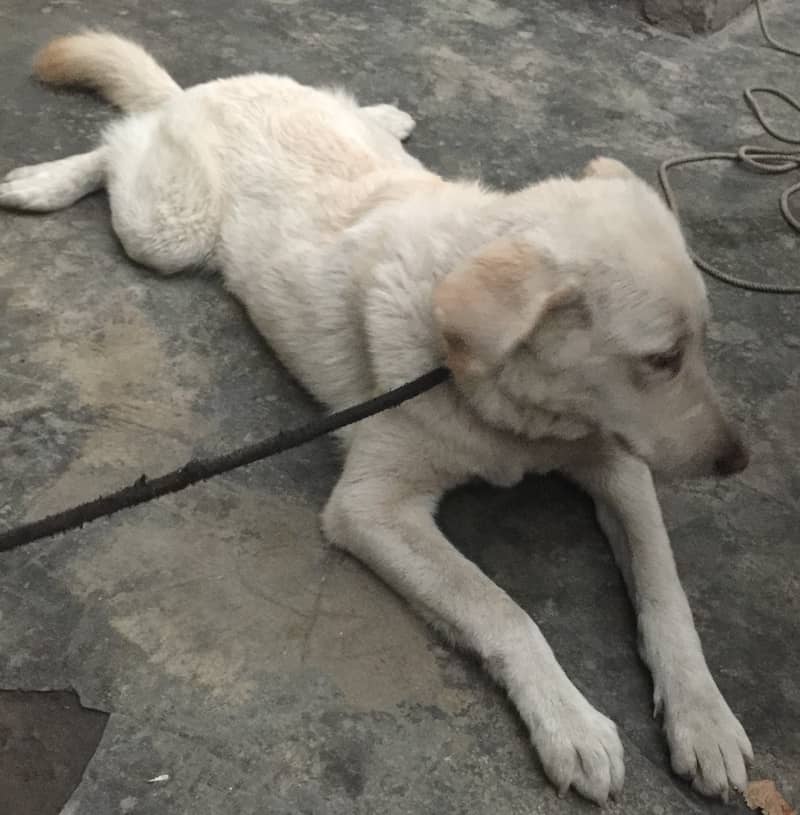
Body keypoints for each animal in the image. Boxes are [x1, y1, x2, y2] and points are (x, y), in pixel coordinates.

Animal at [0, 33, 752, 808]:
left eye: (699, 344)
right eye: (660, 359)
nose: (738, 459)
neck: (505, 403)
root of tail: (201, 93)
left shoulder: (617, 463)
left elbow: (667, 594)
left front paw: (705, 718)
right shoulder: (371, 507)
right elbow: (499, 607)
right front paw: (569, 721)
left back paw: (385, 114)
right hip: (166, 232)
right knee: (116, 145)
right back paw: (44, 181)